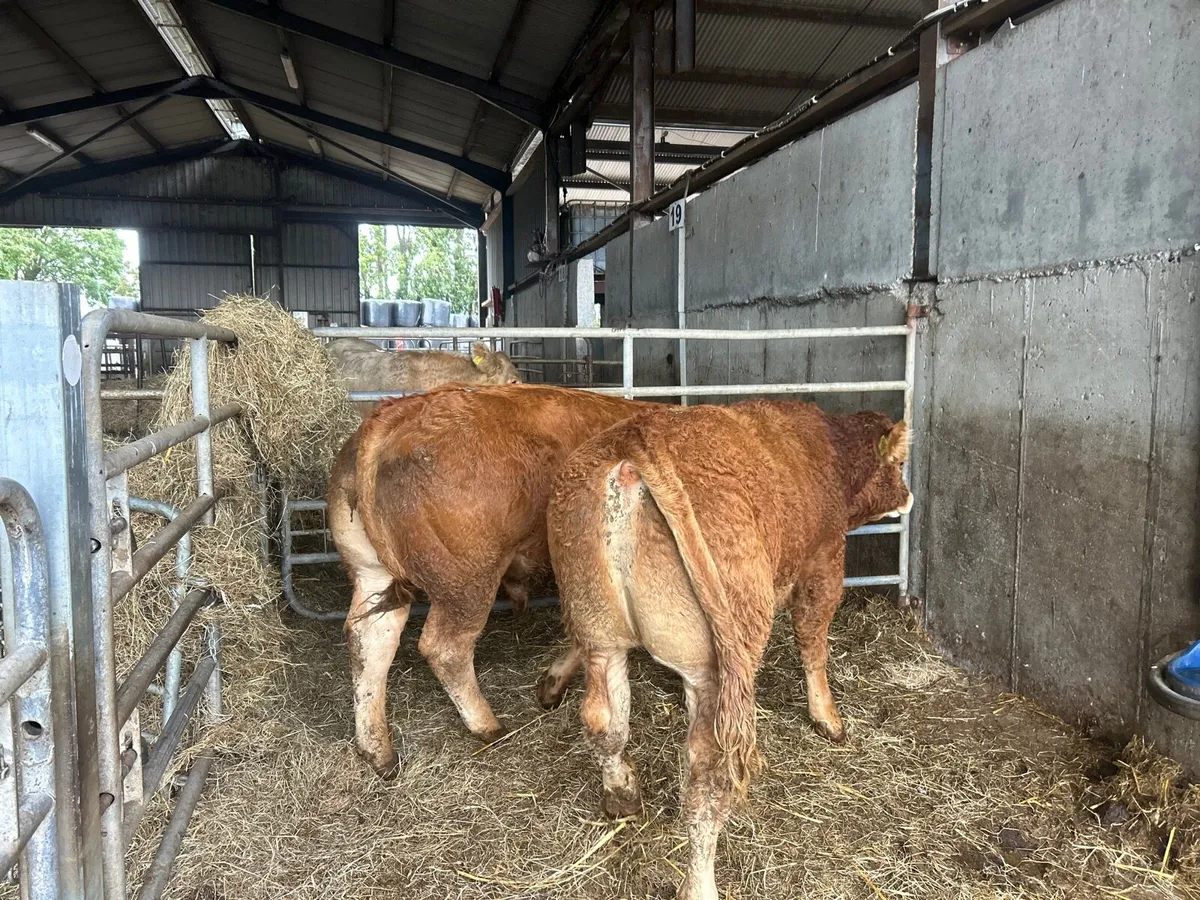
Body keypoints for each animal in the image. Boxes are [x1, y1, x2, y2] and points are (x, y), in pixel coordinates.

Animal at [327, 383, 647, 778]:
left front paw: (551, 686)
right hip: (468, 583)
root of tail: (398, 413)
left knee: (370, 641)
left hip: (372, 573)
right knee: (445, 648)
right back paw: (487, 725)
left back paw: (378, 752)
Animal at [542, 400, 912, 900]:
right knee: (706, 768)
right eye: (899, 463)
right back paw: (700, 882)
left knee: (605, 717)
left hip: (600, 629)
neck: (826, 452)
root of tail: (634, 444)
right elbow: (813, 639)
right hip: (722, 656)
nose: (908, 496)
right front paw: (828, 718)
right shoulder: (823, 558)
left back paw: (621, 795)